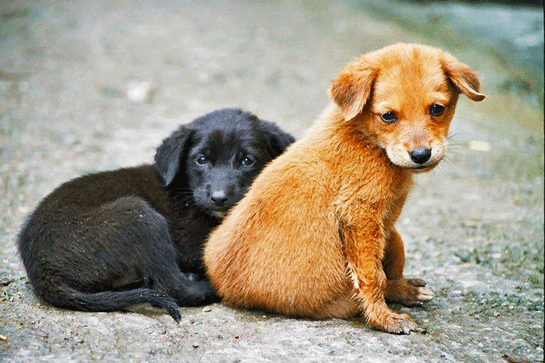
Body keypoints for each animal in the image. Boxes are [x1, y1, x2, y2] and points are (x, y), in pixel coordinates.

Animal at [17, 108, 294, 322]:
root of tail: (41, 268)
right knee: (173, 287)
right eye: (201, 159)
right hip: (139, 218)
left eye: (247, 160)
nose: (218, 197)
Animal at [204, 44, 484, 334]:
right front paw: (384, 318)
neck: (366, 139)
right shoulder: (359, 213)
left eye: (437, 109)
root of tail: (228, 291)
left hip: (392, 239)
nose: (421, 155)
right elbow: (372, 277)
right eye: (388, 116)